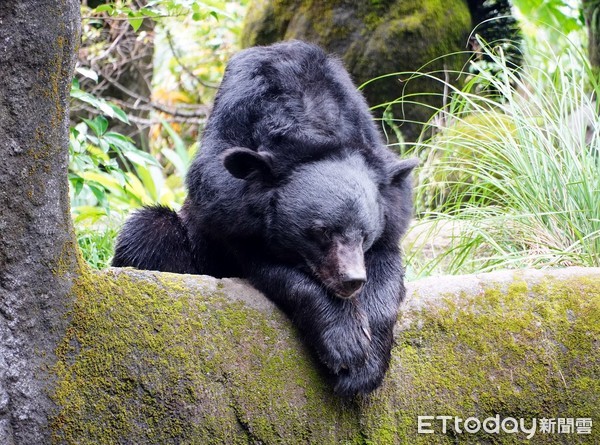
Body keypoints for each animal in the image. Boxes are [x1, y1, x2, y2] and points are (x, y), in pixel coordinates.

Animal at [115, 40, 420, 396]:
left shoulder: (388, 199)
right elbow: (274, 268)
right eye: (321, 232)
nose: (352, 280)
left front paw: (366, 361)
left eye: (365, 235)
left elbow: (387, 268)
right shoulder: (228, 207)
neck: (309, 118)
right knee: (148, 232)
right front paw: (347, 346)